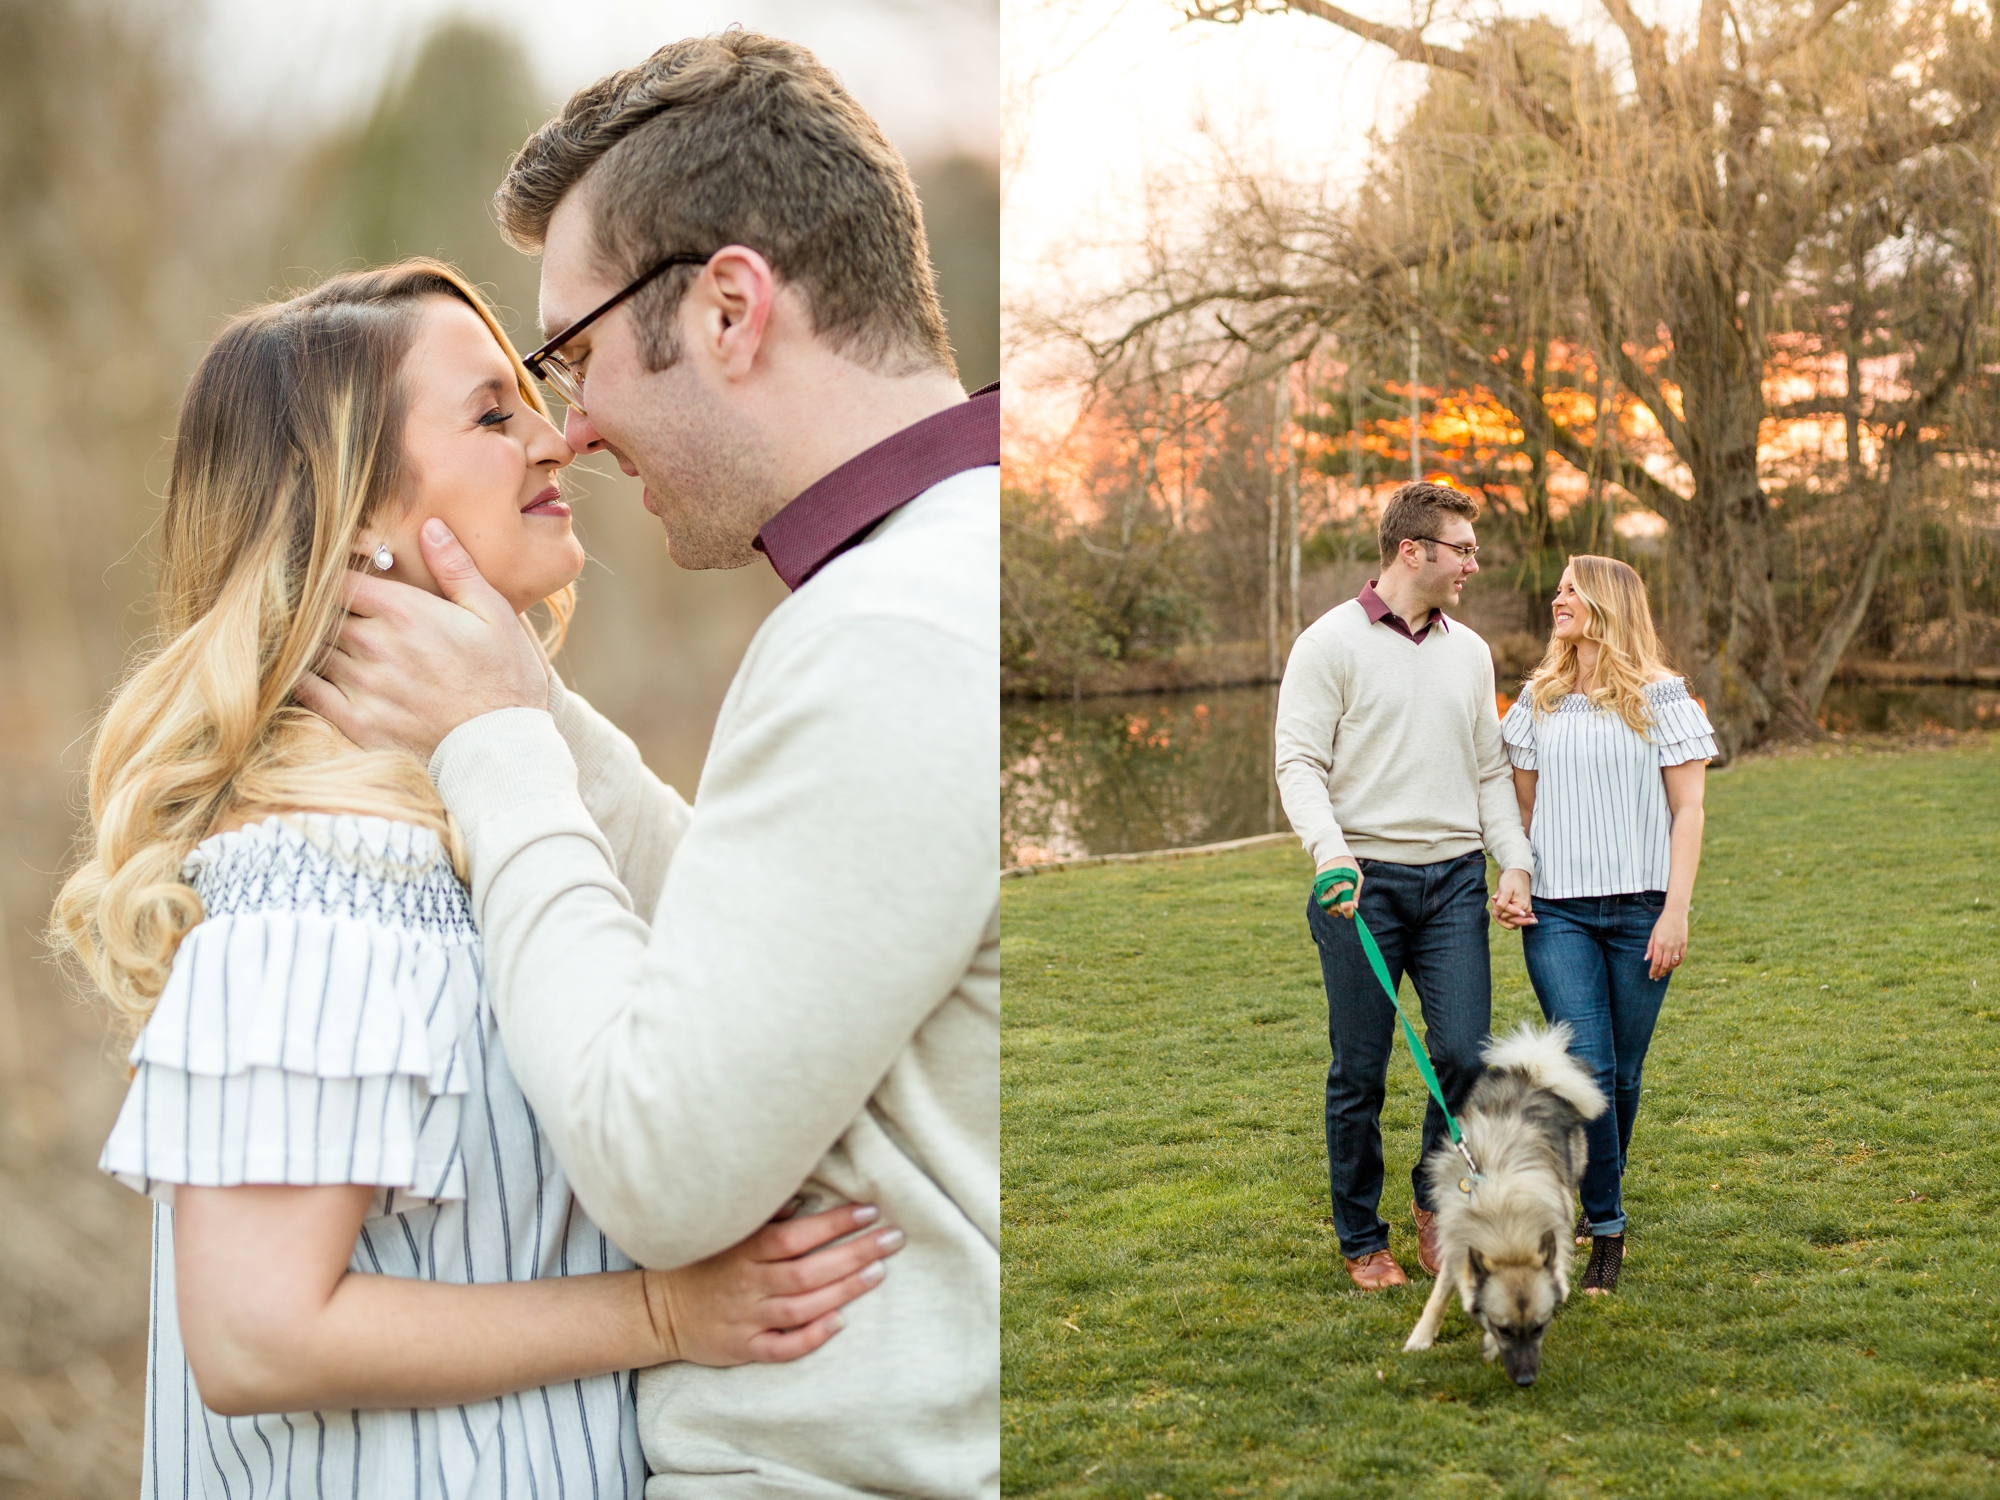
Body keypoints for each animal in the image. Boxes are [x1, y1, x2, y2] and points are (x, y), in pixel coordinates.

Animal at [1408, 1032, 1608, 1392]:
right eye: (1504, 1329)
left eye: (1541, 1327)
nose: (1526, 1380)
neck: (1505, 1227)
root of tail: (1531, 1072)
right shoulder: (1456, 1245)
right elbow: (1440, 1295)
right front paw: (1420, 1338)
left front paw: (1487, 1346)